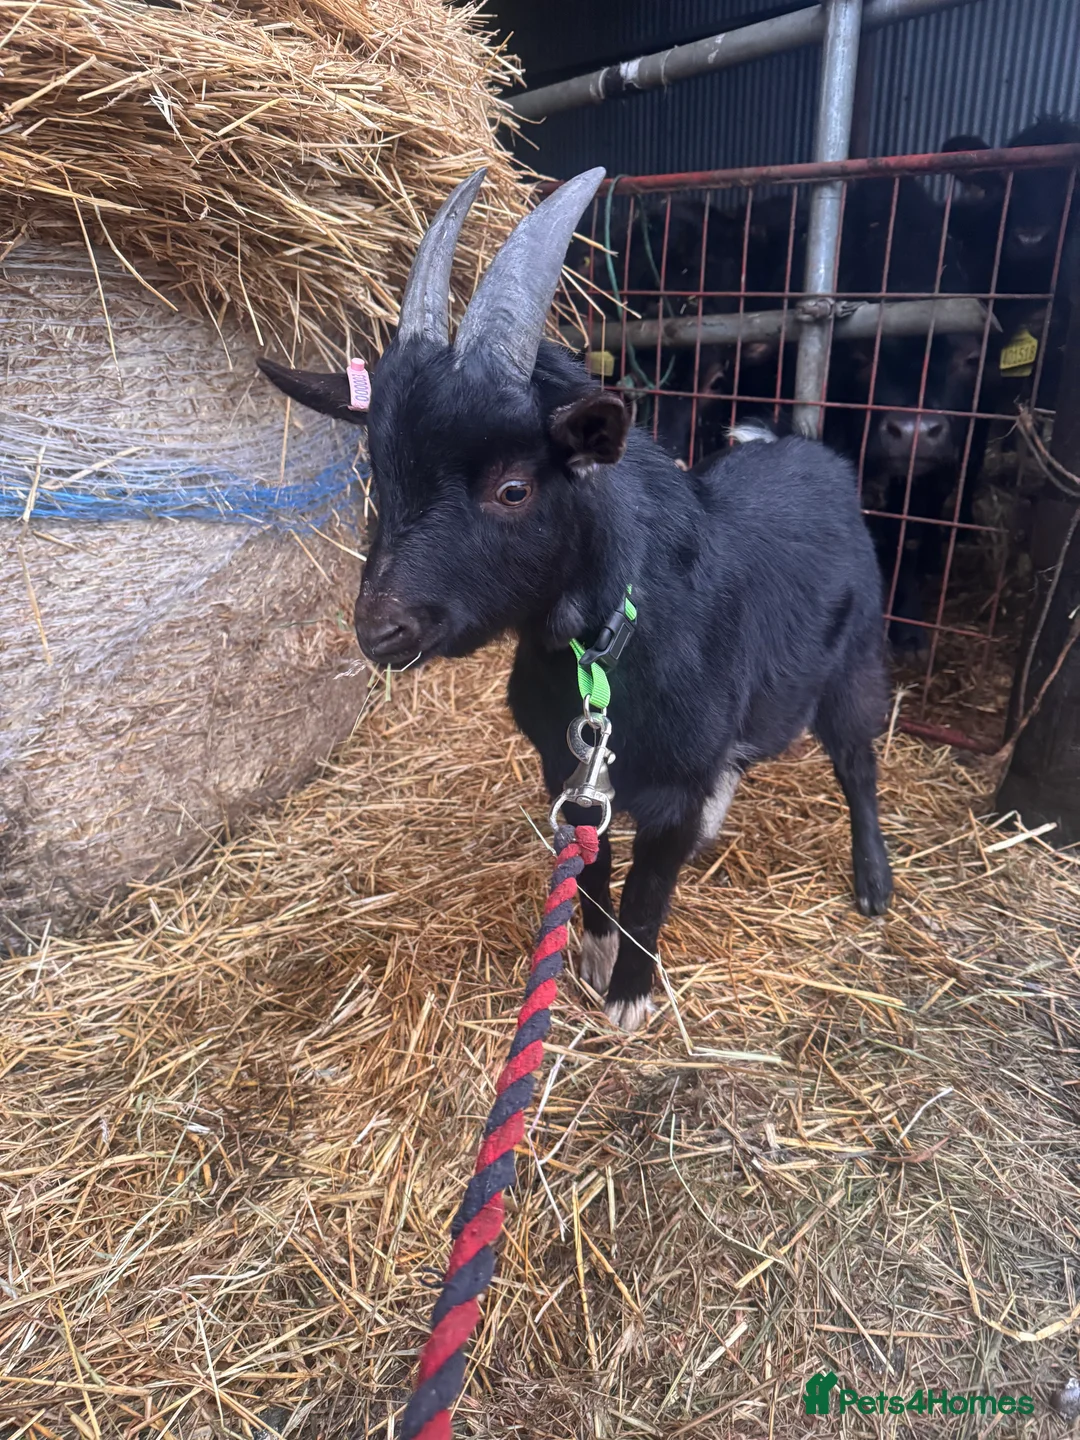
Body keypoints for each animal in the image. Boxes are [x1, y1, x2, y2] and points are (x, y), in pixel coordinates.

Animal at [259, 168, 894, 1031]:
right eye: (378, 476)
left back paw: (873, 882)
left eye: (513, 488)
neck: (604, 651)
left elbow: (650, 889)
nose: (380, 629)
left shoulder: (672, 784)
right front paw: (589, 951)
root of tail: (816, 455)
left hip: (856, 659)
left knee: (857, 762)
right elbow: (593, 867)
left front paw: (628, 992)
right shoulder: (570, 767)